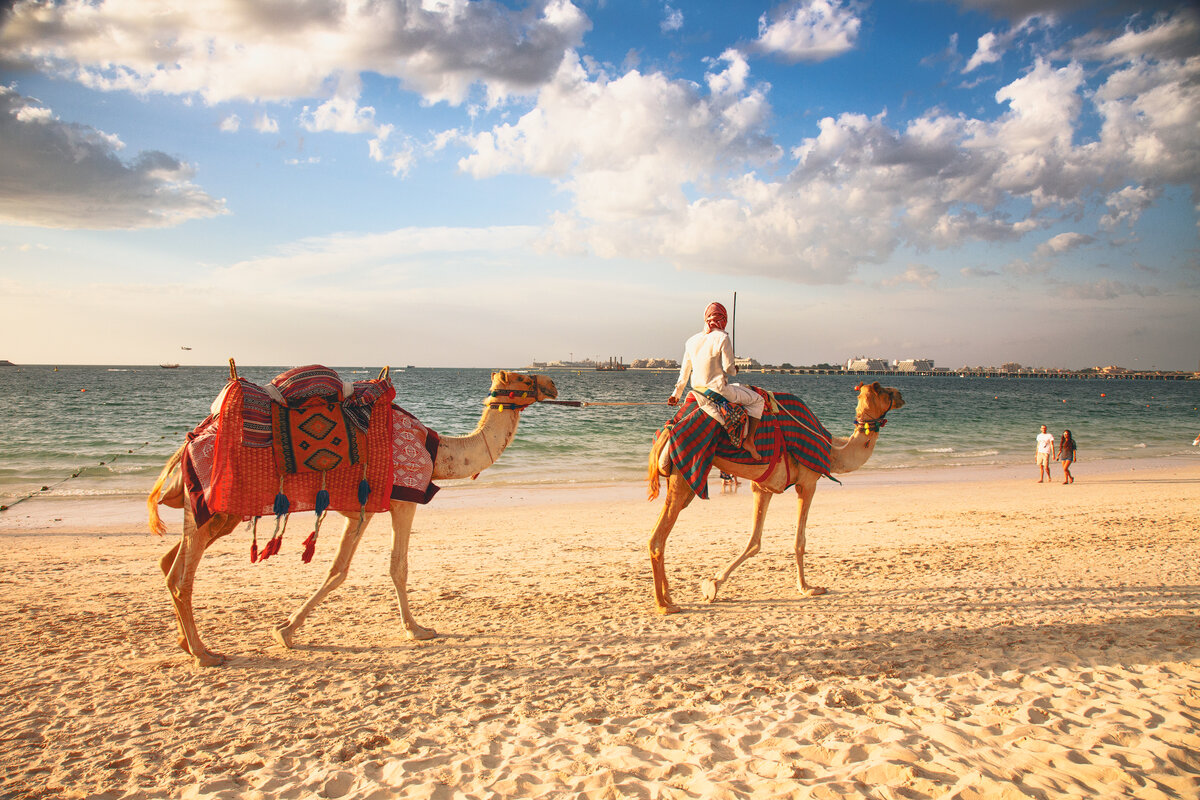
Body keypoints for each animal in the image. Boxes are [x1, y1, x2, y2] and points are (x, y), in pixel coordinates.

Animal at [148, 371, 556, 671]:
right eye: (525, 377)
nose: (553, 384)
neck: (440, 452)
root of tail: (181, 451)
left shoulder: (363, 510)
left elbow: (343, 569)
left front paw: (286, 630)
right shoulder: (400, 500)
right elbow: (385, 567)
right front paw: (417, 629)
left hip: (219, 515)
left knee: (169, 564)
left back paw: (187, 644)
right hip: (209, 508)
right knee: (181, 577)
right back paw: (204, 653)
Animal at [648, 381, 902, 614]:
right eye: (883, 390)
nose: (901, 395)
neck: (832, 451)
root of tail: (668, 430)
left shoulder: (763, 488)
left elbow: (754, 541)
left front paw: (713, 583)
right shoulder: (808, 483)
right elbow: (799, 541)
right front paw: (807, 588)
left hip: (681, 479)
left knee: (660, 534)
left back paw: (668, 597)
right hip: (686, 472)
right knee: (657, 538)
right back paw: (664, 605)